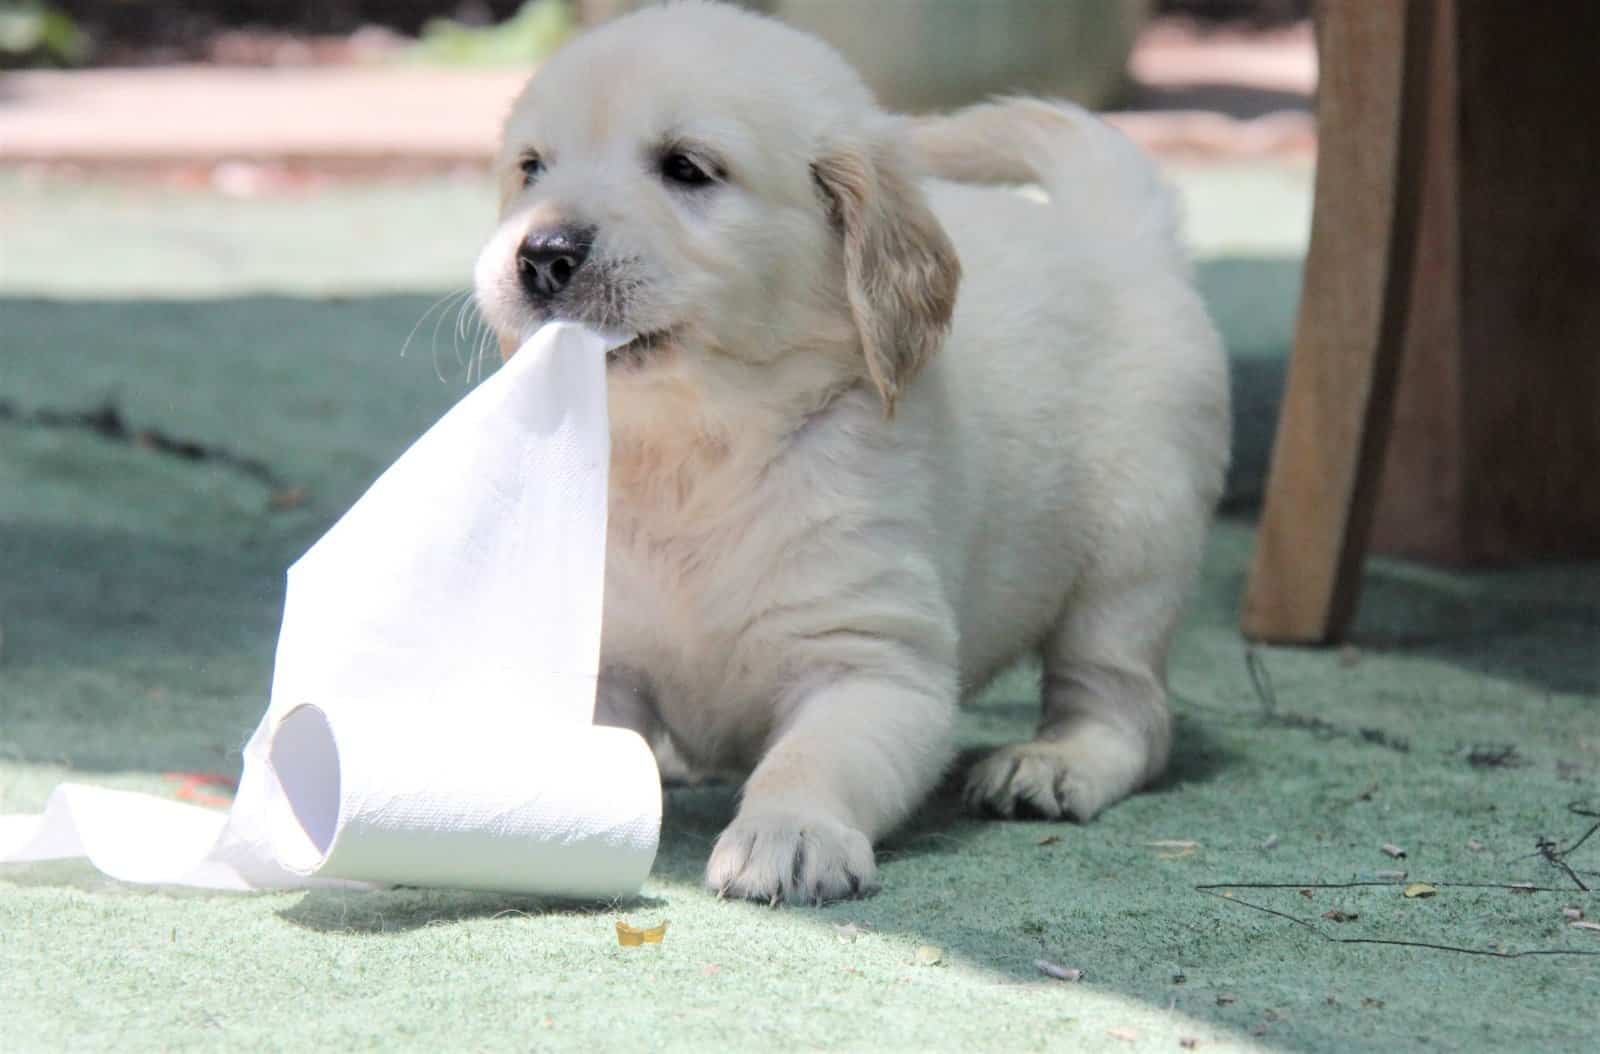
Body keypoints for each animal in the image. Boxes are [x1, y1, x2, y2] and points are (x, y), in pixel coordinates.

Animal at [470, 2, 1222, 908]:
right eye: (531, 169)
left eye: (687, 168)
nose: (542, 255)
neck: (693, 454)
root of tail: (1123, 237)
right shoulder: (599, 654)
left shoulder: (873, 664)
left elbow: (810, 758)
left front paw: (788, 833)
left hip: (1132, 552)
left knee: (1125, 703)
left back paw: (1054, 763)